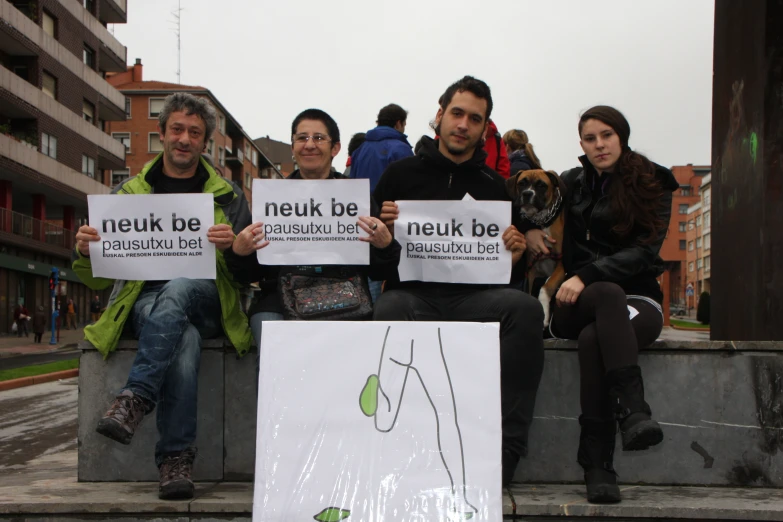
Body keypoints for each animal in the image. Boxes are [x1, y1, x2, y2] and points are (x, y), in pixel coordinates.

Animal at [508, 169, 568, 324]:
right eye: (521, 183)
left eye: (541, 185)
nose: (527, 193)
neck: (542, 221)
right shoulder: (531, 269)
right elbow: (529, 292)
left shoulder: (561, 265)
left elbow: (547, 286)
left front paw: (545, 313)